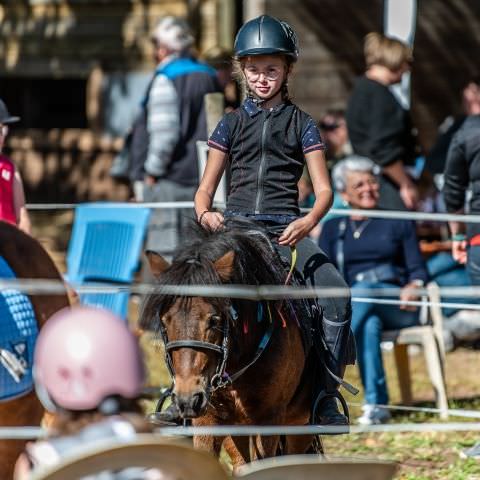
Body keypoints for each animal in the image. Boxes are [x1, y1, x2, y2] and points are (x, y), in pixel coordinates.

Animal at [142, 219, 322, 466]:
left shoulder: (269, 419)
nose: (188, 399)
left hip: (299, 424)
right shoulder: (209, 420)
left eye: (214, 320)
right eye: (164, 321)